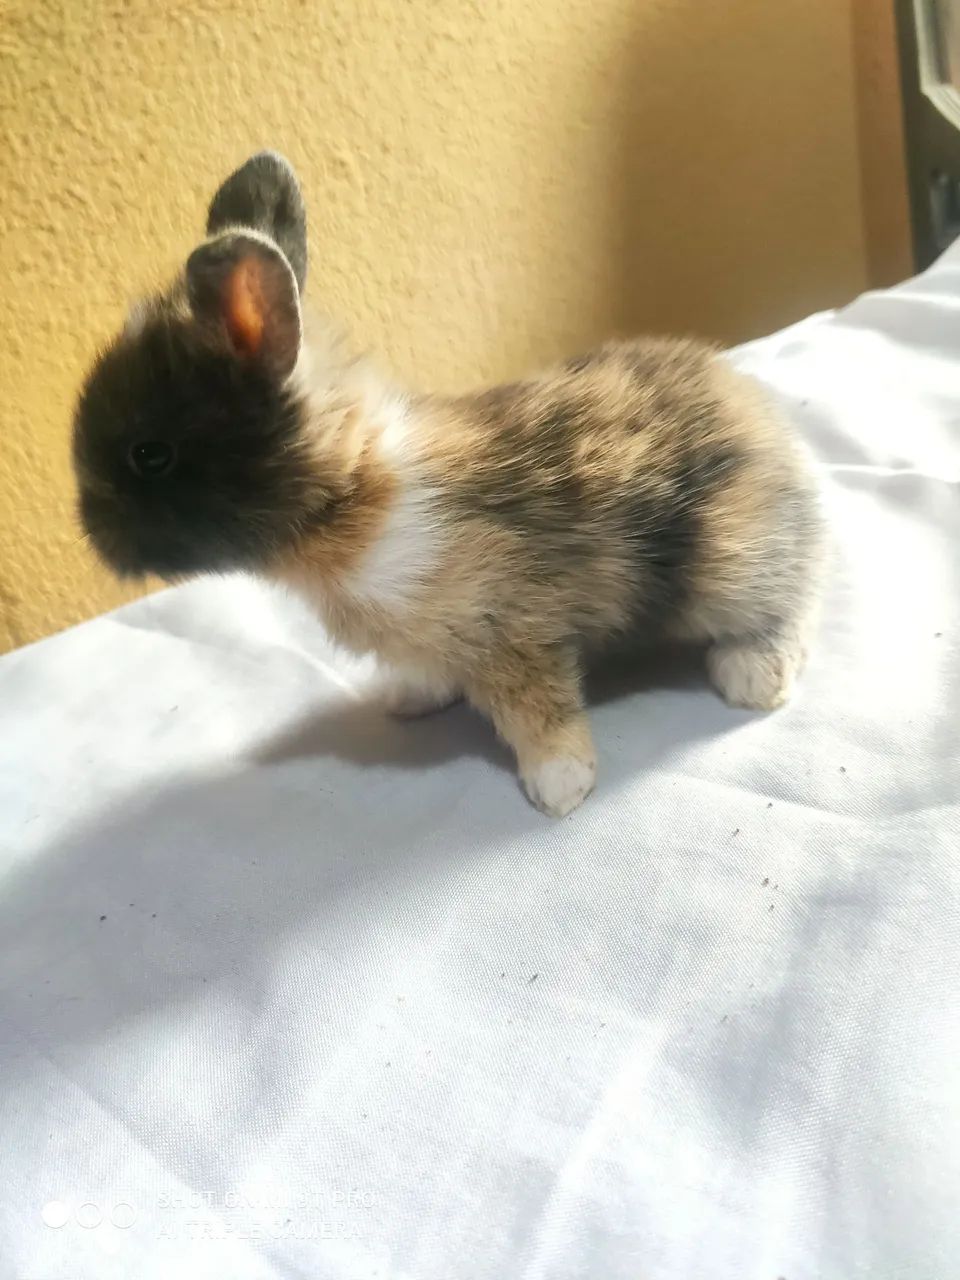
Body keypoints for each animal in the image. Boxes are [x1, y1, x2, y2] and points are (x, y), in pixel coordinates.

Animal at [73, 152, 826, 817]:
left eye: (150, 455)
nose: (91, 533)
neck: (354, 496)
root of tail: (772, 430)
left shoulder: (514, 632)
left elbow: (539, 711)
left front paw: (561, 787)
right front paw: (408, 698)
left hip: (729, 564)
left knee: (790, 605)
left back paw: (751, 677)